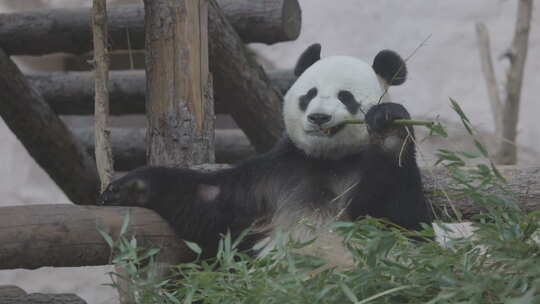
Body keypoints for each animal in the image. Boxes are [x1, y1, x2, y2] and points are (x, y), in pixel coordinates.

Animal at [99, 42, 432, 262]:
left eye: (345, 97)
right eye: (309, 94)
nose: (318, 117)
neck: (328, 159)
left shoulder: (360, 172)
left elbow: (399, 218)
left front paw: (388, 125)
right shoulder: (275, 174)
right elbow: (209, 199)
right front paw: (125, 188)